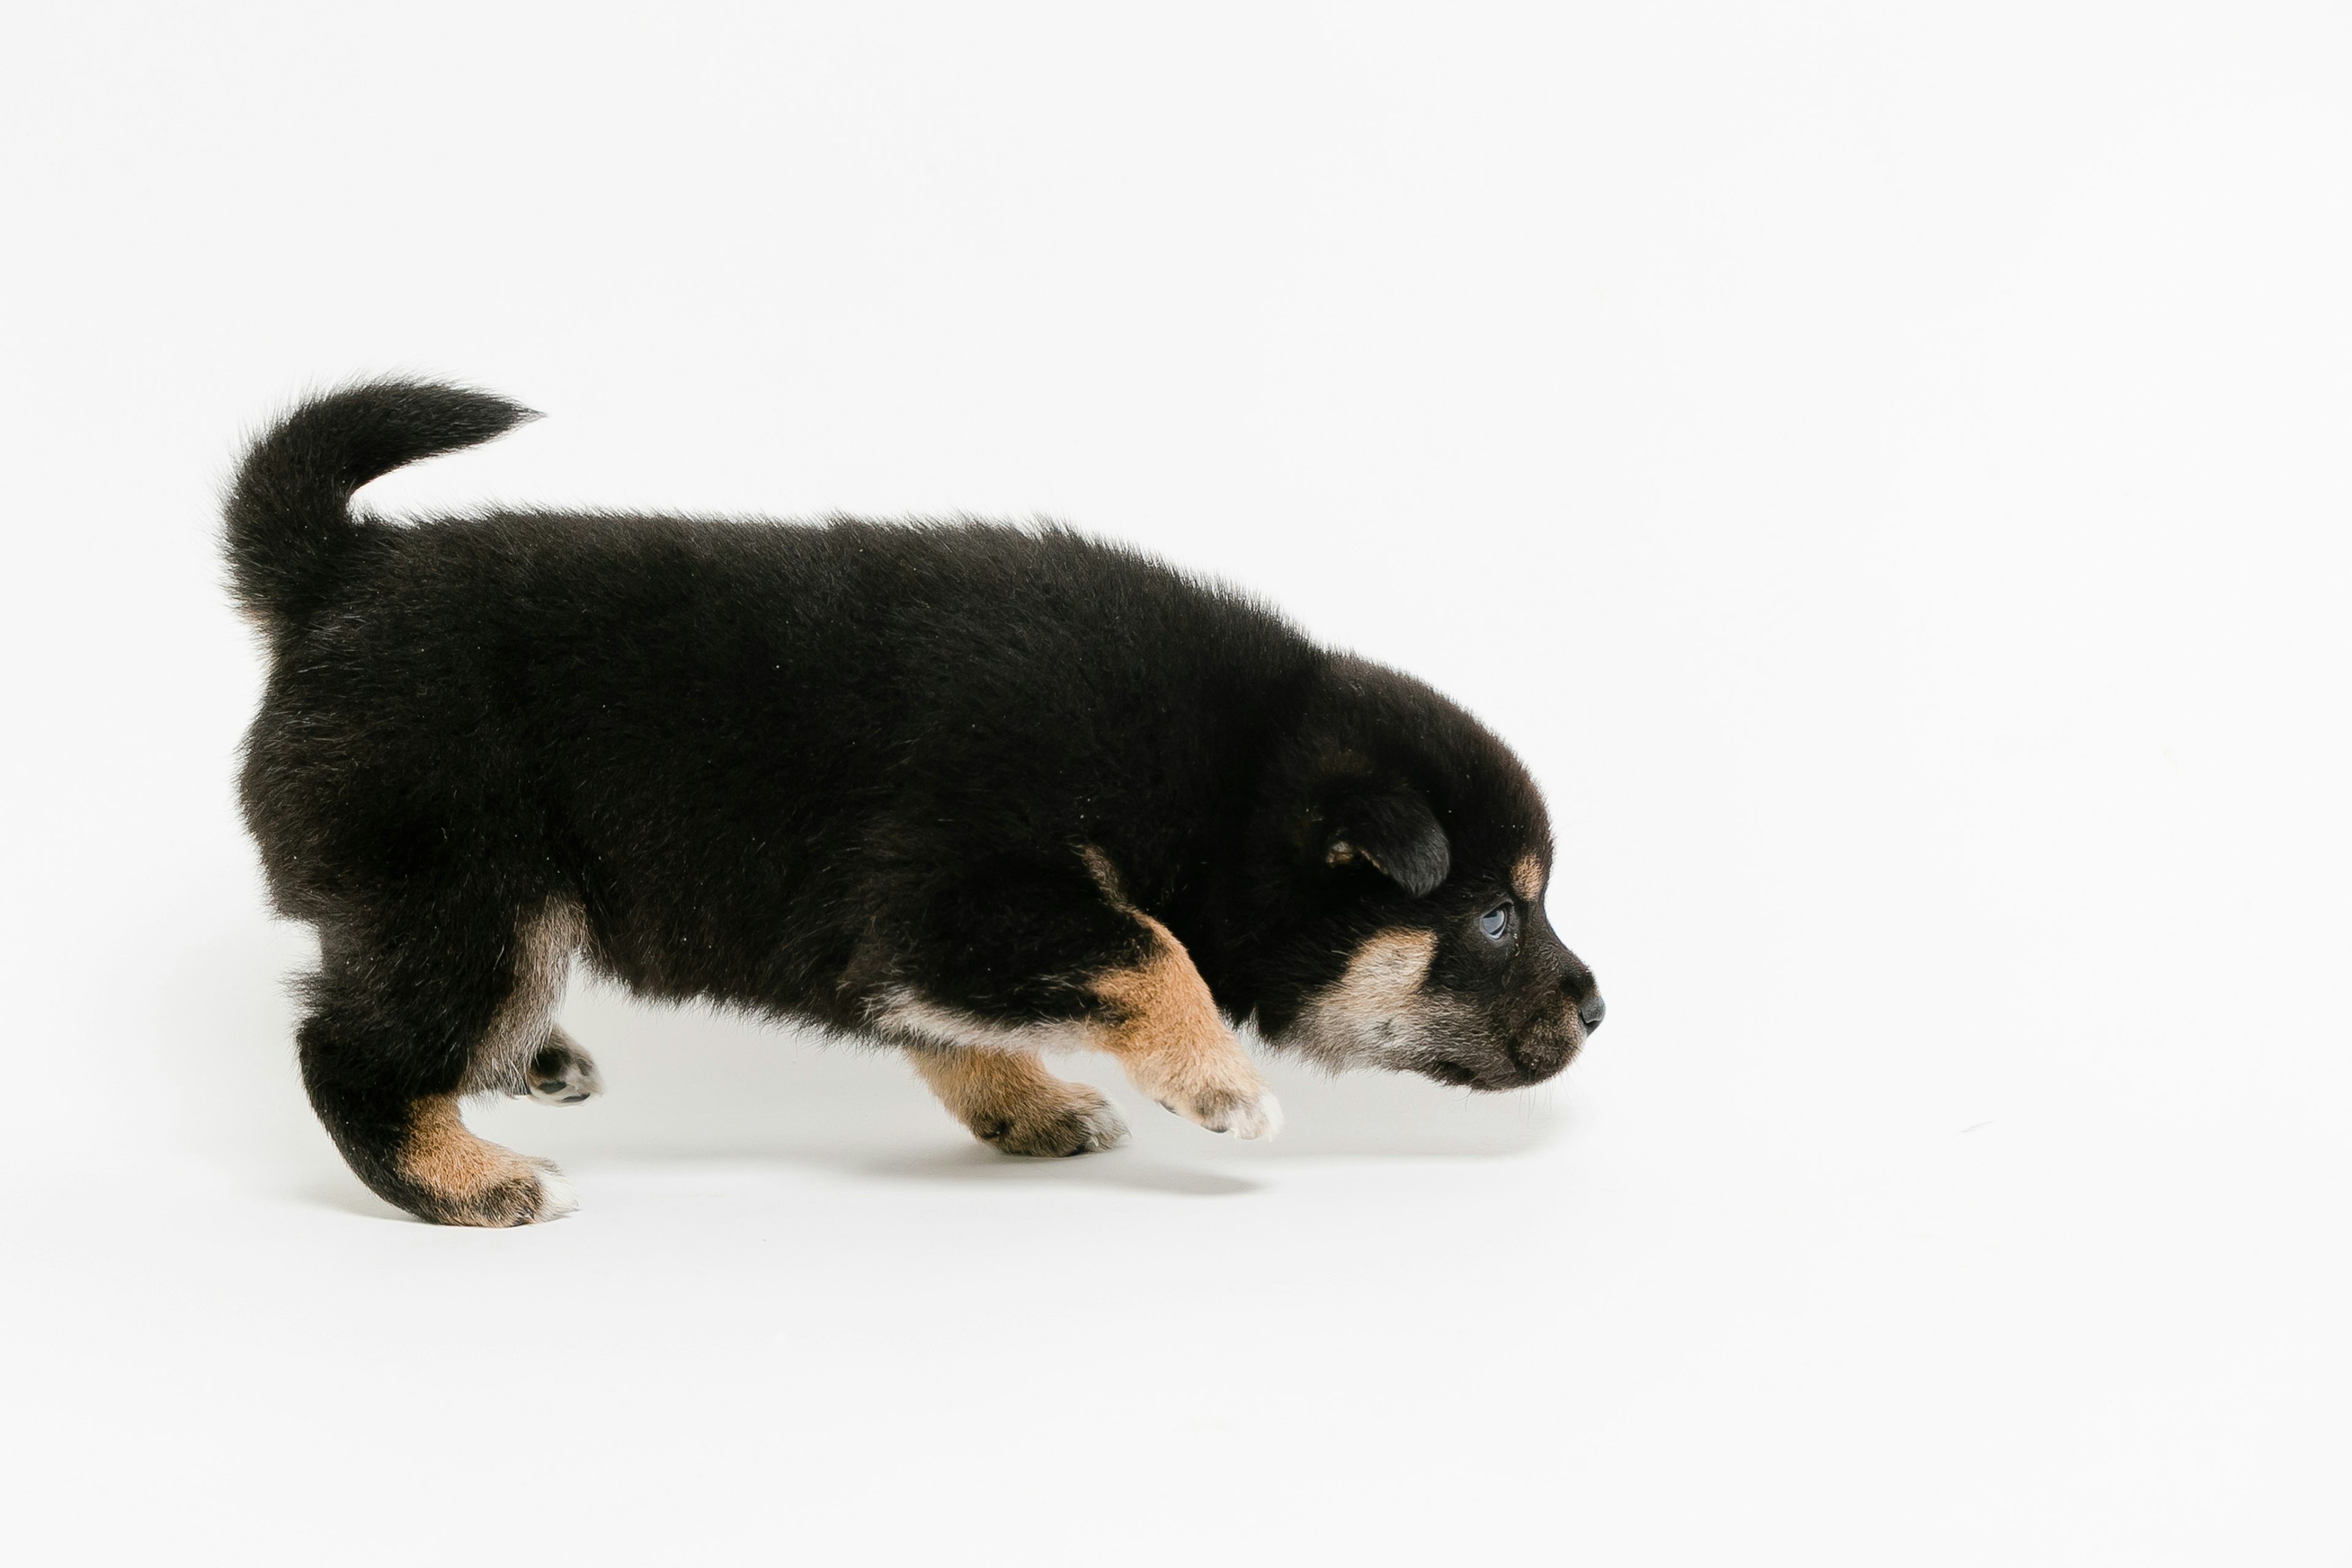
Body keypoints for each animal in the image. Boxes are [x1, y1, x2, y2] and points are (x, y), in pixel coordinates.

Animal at [229, 380, 1608, 1222]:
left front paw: (1029, 1104)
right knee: (345, 1051)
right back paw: (472, 1182)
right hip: (469, 896)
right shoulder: (961, 892)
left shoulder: (918, 944)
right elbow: (1146, 948)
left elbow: (960, 1024)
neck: (1229, 781)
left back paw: (531, 1059)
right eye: (1496, 917)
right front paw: (1217, 1085)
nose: (1599, 1007)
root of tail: (339, 574)